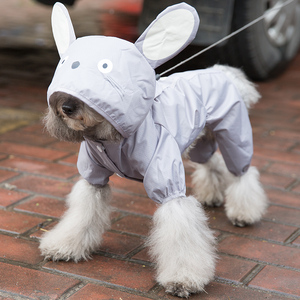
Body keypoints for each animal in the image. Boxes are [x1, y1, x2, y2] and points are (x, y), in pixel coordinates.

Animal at [39, 2, 268, 298]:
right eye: (66, 63)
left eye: (105, 67)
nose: (66, 107)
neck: (109, 138)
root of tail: (223, 72)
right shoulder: (93, 178)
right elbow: (82, 215)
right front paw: (65, 245)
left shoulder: (168, 183)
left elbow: (180, 231)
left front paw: (183, 278)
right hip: (200, 143)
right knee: (212, 163)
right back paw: (212, 195)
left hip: (233, 133)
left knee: (241, 171)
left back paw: (244, 212)